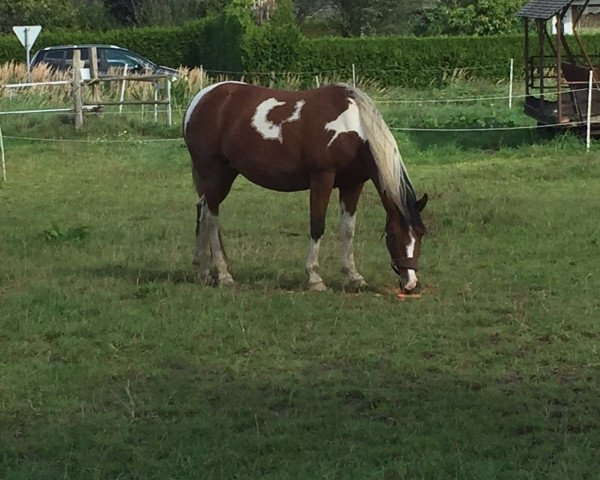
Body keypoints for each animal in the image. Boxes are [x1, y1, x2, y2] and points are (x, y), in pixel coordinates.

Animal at [183, 81, 426, 292]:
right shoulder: (321, 179)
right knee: (212, 219)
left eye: (422, 233)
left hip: (224, 176)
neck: (352, 128)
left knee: (202, 209)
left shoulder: (353, 184)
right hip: (213, 173)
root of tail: (200, 99)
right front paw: (314, 278)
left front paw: (354, 276)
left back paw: (202, 272)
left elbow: (348, 229)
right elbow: (317, 225)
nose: (410, 284)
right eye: (393, 234)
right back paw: (223, 274)